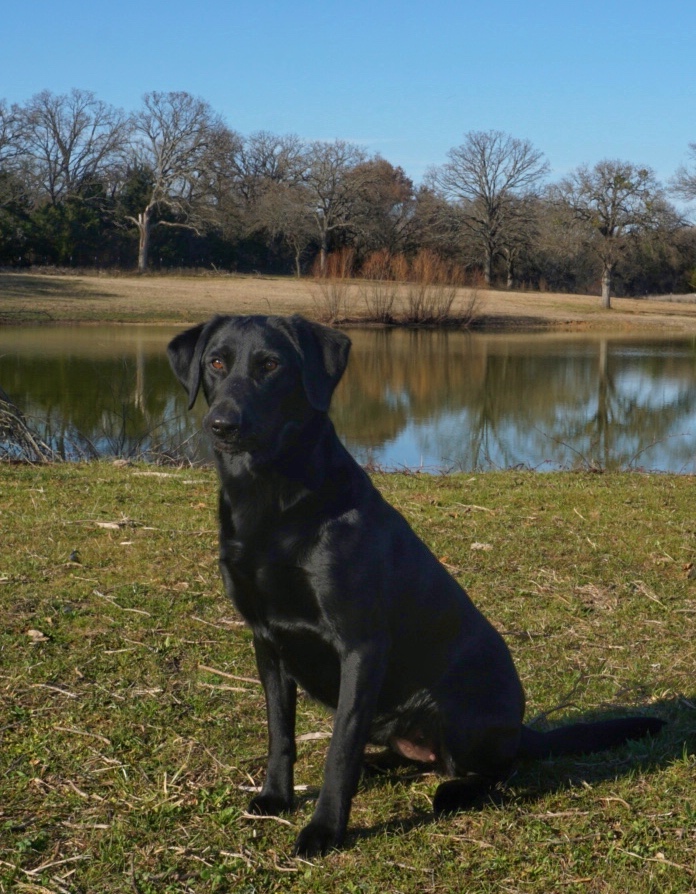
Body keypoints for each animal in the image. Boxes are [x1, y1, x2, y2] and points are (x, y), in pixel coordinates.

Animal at [169, 316, 664, 860]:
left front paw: (325, 829)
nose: (222, 424)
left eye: (271, 365)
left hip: (459, 706)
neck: (270, 499)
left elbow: (339, 749)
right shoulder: (267, 641)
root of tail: (519, 728)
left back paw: (454, 790)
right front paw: (276, 796)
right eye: (217, 362)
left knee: (497, 769)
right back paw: (380, 764)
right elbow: (281, 732)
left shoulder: (360, 646)